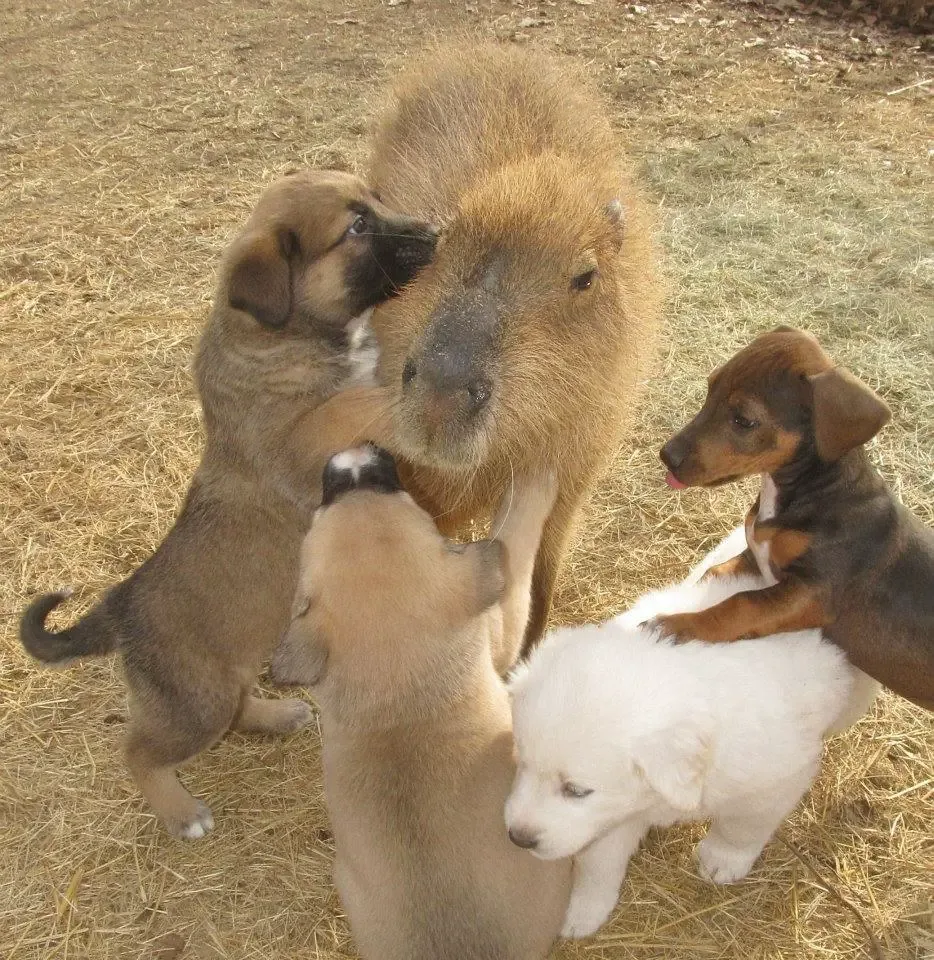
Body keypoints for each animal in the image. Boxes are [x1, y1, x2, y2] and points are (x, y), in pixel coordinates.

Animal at [18, 172, 436, 840]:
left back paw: (276, 715)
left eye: (374, 200)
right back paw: (180, 811)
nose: (437, 232)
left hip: (229, 675)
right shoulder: (302, 439)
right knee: (138, 751)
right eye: (356, 227)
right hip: (196, 703)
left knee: (238, 710)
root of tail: (122, 607)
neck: (287, 337)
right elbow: (355, 401)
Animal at [272, 448, 572, 960]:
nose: (354, 460)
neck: (400, 704)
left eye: (329, 501)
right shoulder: (499, 635)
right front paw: (535, 482)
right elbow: (516, 551)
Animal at [504, 524, 876, 936]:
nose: (517, 838)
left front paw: (723, 860)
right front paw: (583, 912)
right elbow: (598, 863)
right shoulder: (613, 816)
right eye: (521, 765)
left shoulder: (776, 783)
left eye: (577, 790)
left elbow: (742, 827)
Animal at [660, 326, 934, 708]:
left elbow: (741, 603)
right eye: (710, 387)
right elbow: (715, 572)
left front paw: (675, 625)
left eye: (744, 420)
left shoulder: (814, 591)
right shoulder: (756, 555)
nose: (666, 456)